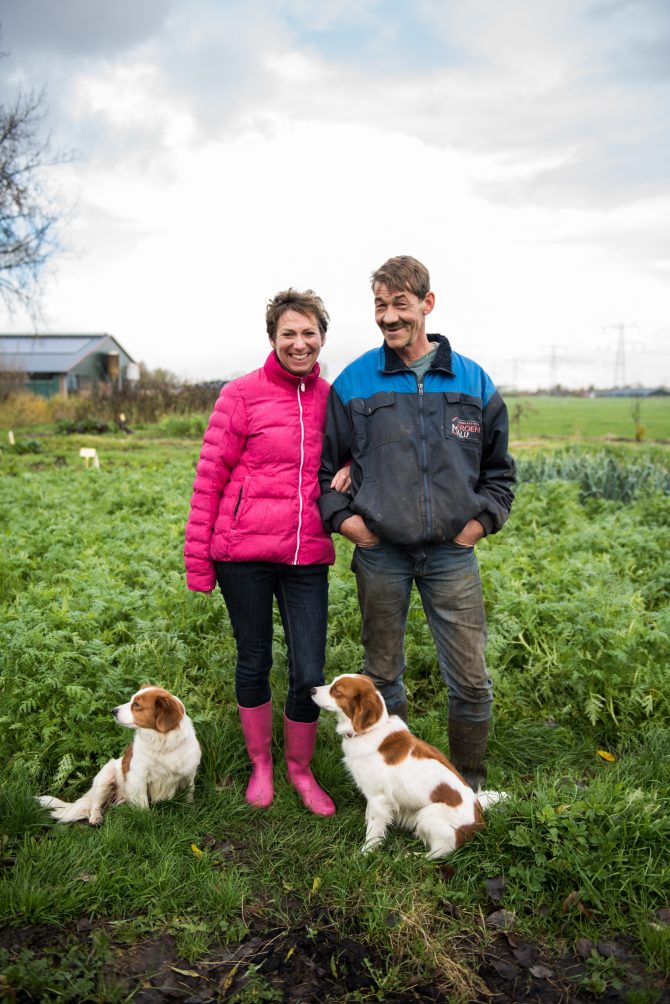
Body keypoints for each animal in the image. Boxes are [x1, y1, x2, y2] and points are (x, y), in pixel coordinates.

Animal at [37, 686, 200, 827]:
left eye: (137, 705)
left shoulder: (189, 775)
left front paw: (190, 812)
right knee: (95, 805)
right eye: (131, 700)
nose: (113, 711)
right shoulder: (138, 778)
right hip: (104, 777)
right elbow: (143, 805)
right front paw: (147, 820)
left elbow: (189, 795)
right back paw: (95, 818)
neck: (163, 744)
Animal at [311, 670, 506, 859]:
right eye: (333, 682)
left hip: (428, 814)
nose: (312, 690)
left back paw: (409, 855)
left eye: (337, 691)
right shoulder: (372, 796)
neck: (370, 730)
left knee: (438, 853)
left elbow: (373, 831)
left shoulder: (378, 798)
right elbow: (369, 817)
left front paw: (365, 853)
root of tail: (479, 821)